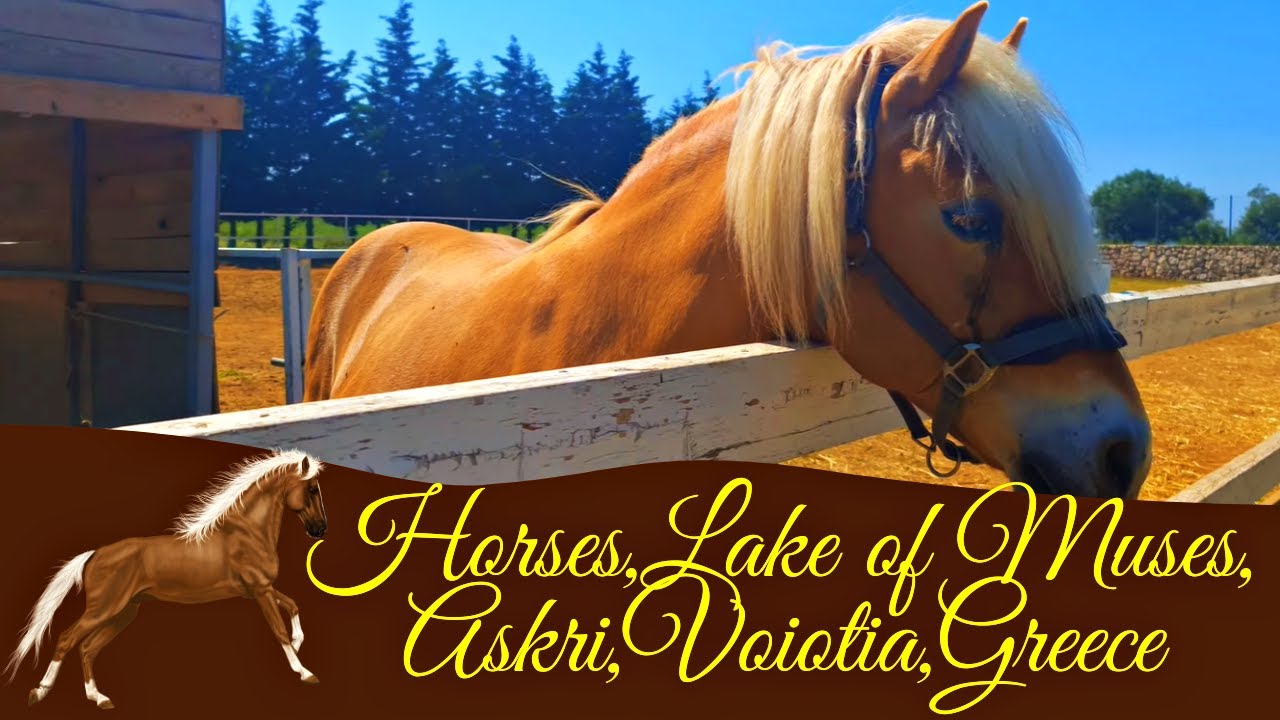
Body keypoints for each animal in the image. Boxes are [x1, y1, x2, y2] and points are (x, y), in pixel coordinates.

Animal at [5, 449, 328, 709]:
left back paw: (99, 698)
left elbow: (294, 605)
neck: (247, 532)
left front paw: (299, 645)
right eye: (312, 489)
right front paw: (306, 672)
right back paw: (40, 692)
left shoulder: (261, 588)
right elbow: (280, 631)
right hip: (104, 609)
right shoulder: (260, 590)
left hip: (124, 612)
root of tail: (93, 554)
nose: (320, 529)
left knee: (87, 648)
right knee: (66, 639)